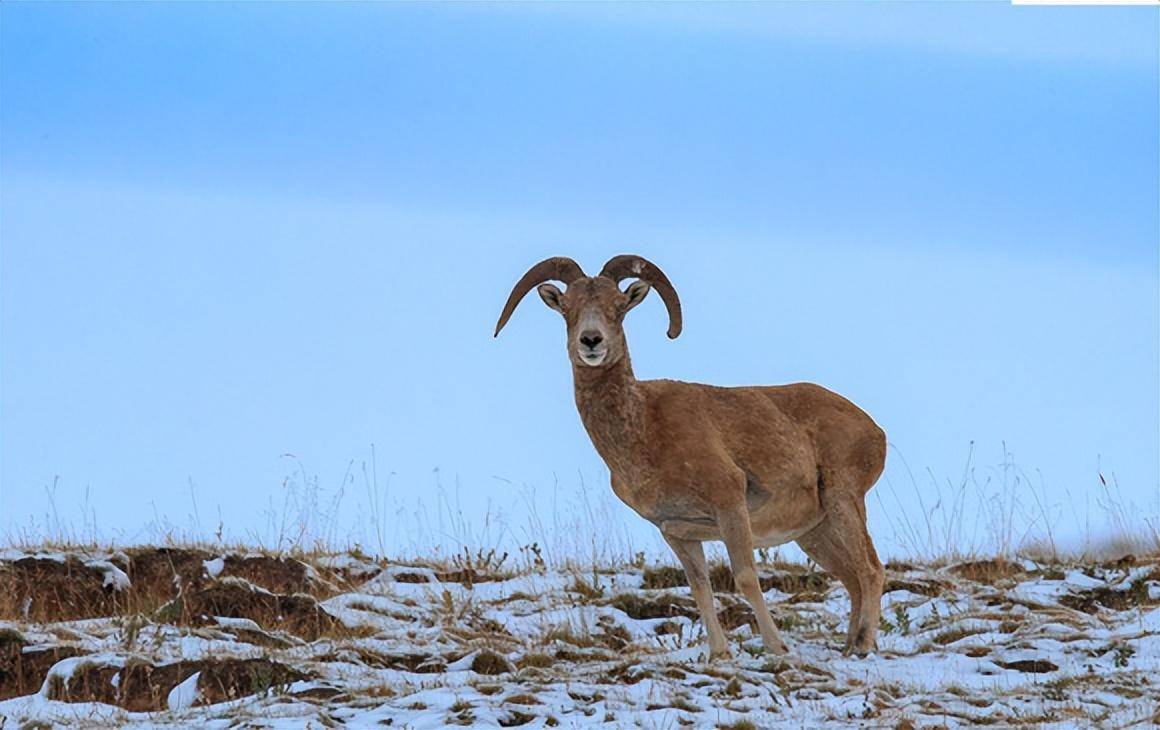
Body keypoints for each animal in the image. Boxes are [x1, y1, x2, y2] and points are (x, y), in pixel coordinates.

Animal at [494, 255, 881, 654]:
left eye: (618, 306)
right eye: (567, 308)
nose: (591, 341)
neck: (644, 431)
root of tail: (873, 428)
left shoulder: (730, 506)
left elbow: (745, 579)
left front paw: (777, 648)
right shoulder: (678, 533)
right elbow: (700, 589)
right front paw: (719, 654)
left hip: (842, 501)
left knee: (870, 570)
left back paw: (863, 645)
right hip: (815, 532)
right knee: (852, 578)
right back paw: (848, 647)